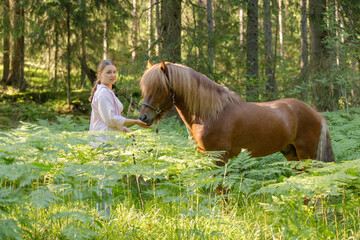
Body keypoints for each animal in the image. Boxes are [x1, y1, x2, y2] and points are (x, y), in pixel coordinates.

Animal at [139, 60, 334, 165]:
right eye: (144, 88)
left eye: (159, 88)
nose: (143, 117)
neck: (212, 114)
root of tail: (317, 115)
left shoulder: (220, 158)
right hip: (291, 154)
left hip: (306, 154)